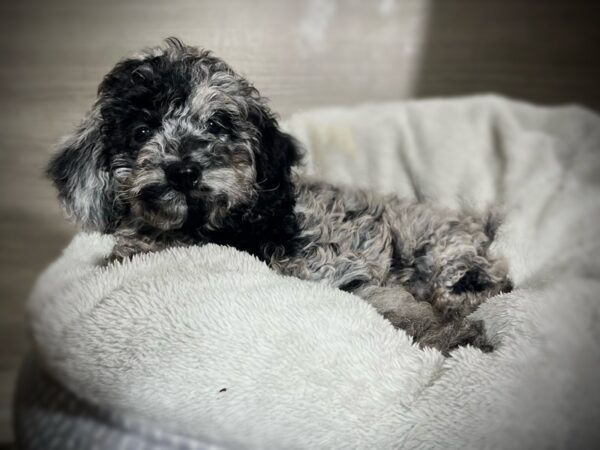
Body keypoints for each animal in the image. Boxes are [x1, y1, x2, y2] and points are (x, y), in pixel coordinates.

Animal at [47, 38, 510, 356]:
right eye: (142, 131)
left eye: (217, 124)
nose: (183, 170)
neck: (220, 228)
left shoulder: (339, 266)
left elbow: (393, 303)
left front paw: (454, 337)